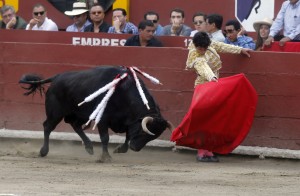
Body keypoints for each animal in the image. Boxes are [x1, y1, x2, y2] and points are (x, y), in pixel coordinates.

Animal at [18, 66, 172, 162]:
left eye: (152, 138)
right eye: (144, 132)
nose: (135, 148)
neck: (124, 92)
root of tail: (57, 77)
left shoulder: (129, 121)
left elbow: (128, 136)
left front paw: (119, 150)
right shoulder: (103, 119)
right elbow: (105, 138)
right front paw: (106, 157)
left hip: (80, 114)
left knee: (75, 125)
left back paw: (89, 147)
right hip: (55, 113)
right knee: (48, 127)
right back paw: (44, 151)